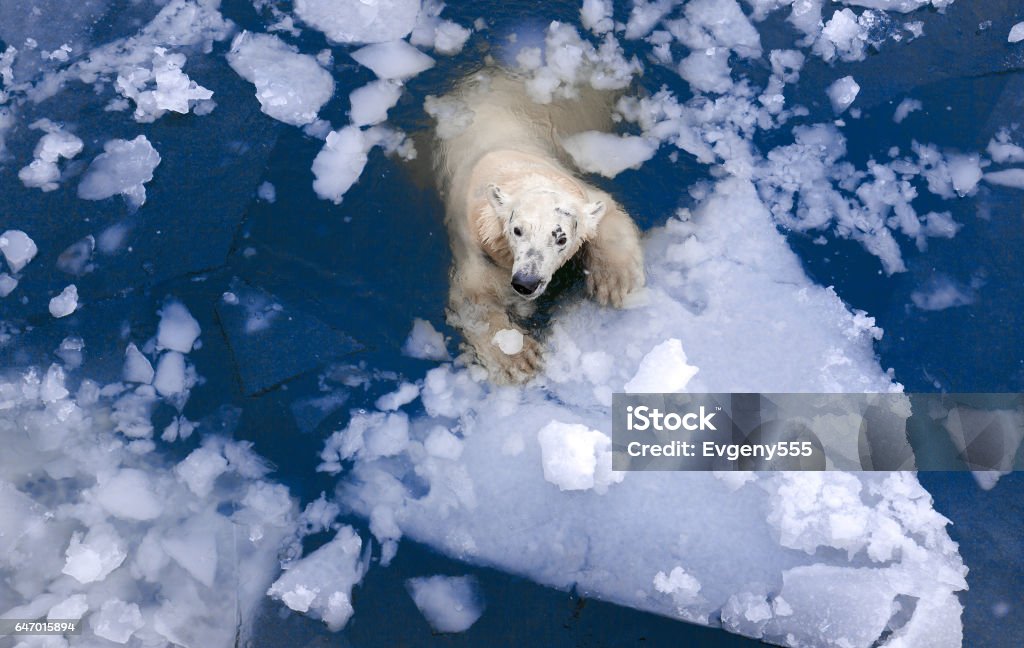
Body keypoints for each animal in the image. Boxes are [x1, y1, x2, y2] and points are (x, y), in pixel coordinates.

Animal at [434, 69, 643, 384]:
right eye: (516, 230)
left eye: (561, 238)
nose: (526, 282)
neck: (510, 168)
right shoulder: (474, 241)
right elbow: (474, 299)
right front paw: (519, 357)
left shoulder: (576, 188)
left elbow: (605, 212)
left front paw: (614, 281)